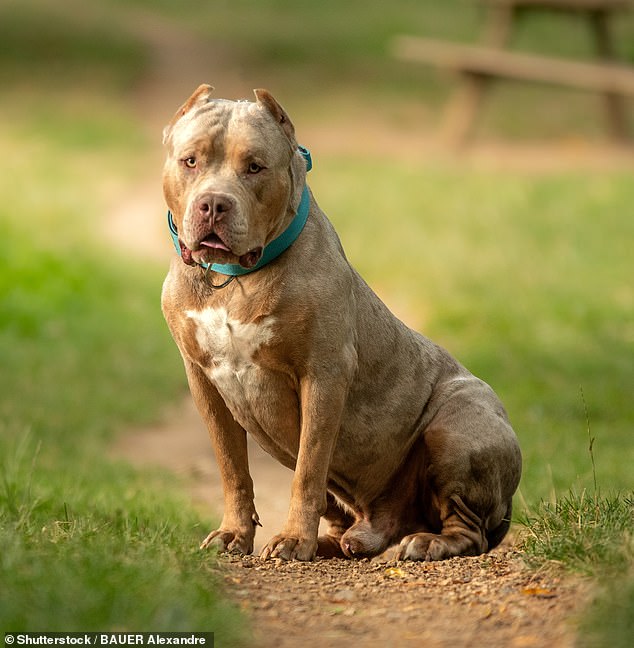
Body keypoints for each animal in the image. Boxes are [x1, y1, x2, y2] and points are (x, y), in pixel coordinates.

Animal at [158, 85, 520, 560]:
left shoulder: (324, 374)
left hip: (457, 426)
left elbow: (309, 469)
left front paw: (294, 538)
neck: (233, 279)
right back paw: (335, 541)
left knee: (469, 529)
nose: (214, 204)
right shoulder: (203, 381)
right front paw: (234, 533)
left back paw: (426, 542)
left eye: (255, 167)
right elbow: (232, 468)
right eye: (190, 161)